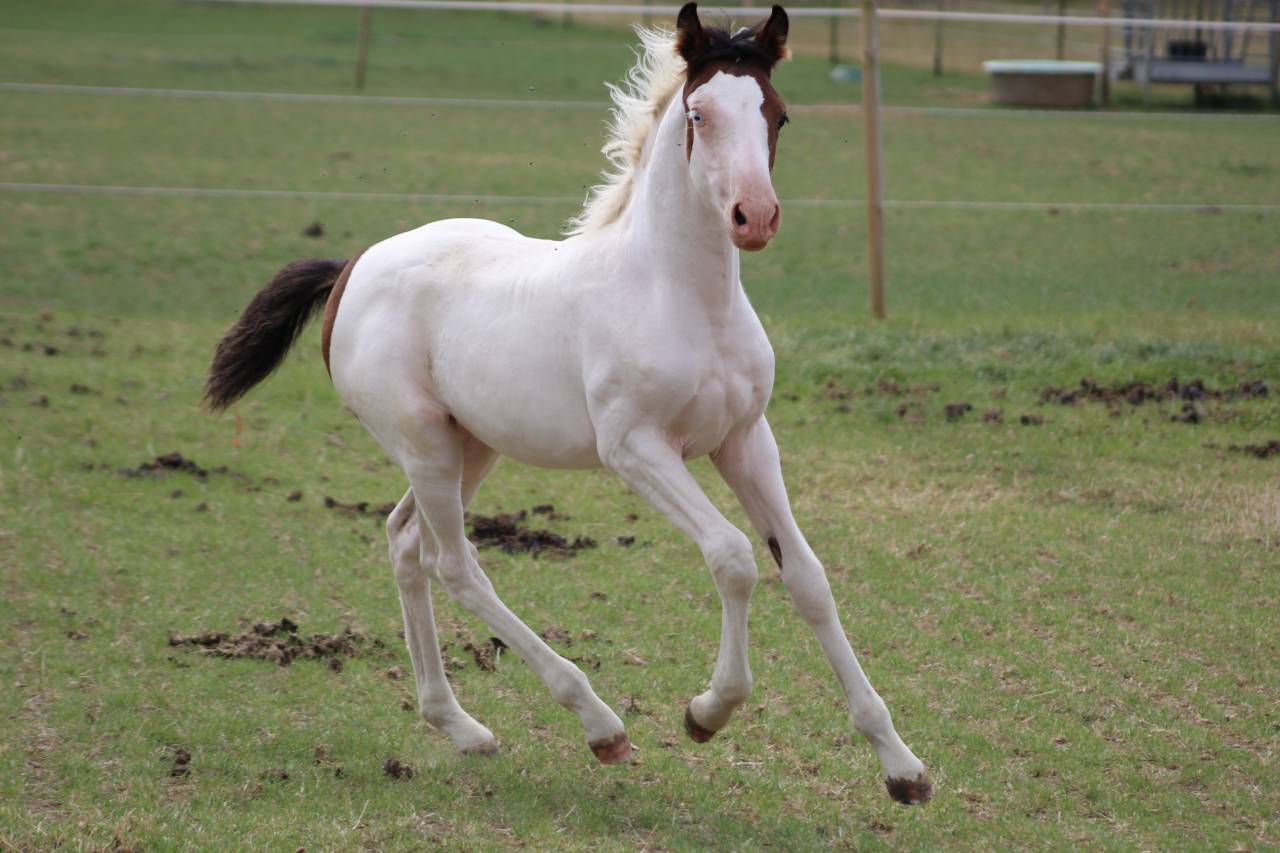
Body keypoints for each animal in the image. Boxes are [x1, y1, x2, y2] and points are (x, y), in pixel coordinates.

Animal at [204, 3, 932, 805]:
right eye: (700, 113)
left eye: (778, 114)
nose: (755, 216)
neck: (681, 296)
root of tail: (350, 269)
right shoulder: (636, 449)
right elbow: (734, 556)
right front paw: (707, 711)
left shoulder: (745, 439)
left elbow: (807, 577)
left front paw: (902, 766)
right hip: (423, 442)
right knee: (454, 563)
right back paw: (598, 723)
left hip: (471, 444)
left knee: (405, 542)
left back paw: (459, 725)